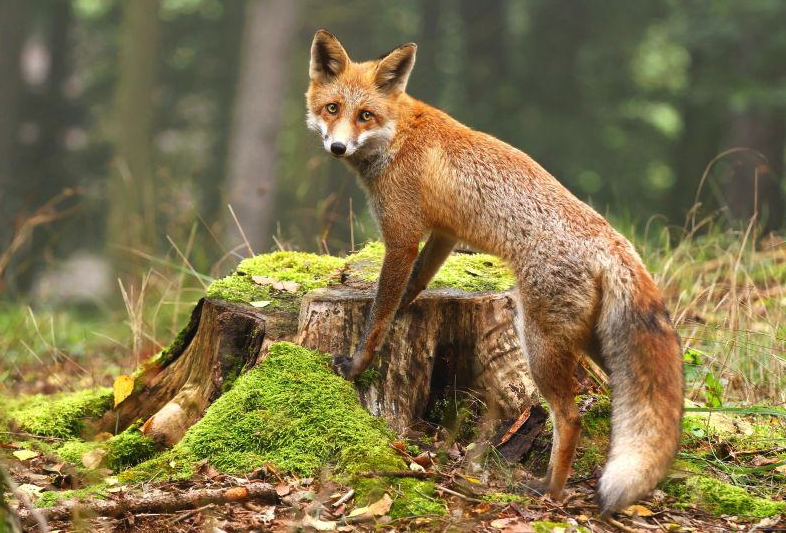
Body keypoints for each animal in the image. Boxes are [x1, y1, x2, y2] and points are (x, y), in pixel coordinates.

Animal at [304, 30, 684, 516]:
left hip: (538, 342)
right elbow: (411, 289)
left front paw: (356, 365)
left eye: (364, 115)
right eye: (333, 108)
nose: (337, 147)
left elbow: (378, 317)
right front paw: (402, 312)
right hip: (596, 345)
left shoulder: (402, 237)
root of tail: (612, 239)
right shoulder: (443, 235)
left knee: (570, 417)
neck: (398, 135)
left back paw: (550, 491)